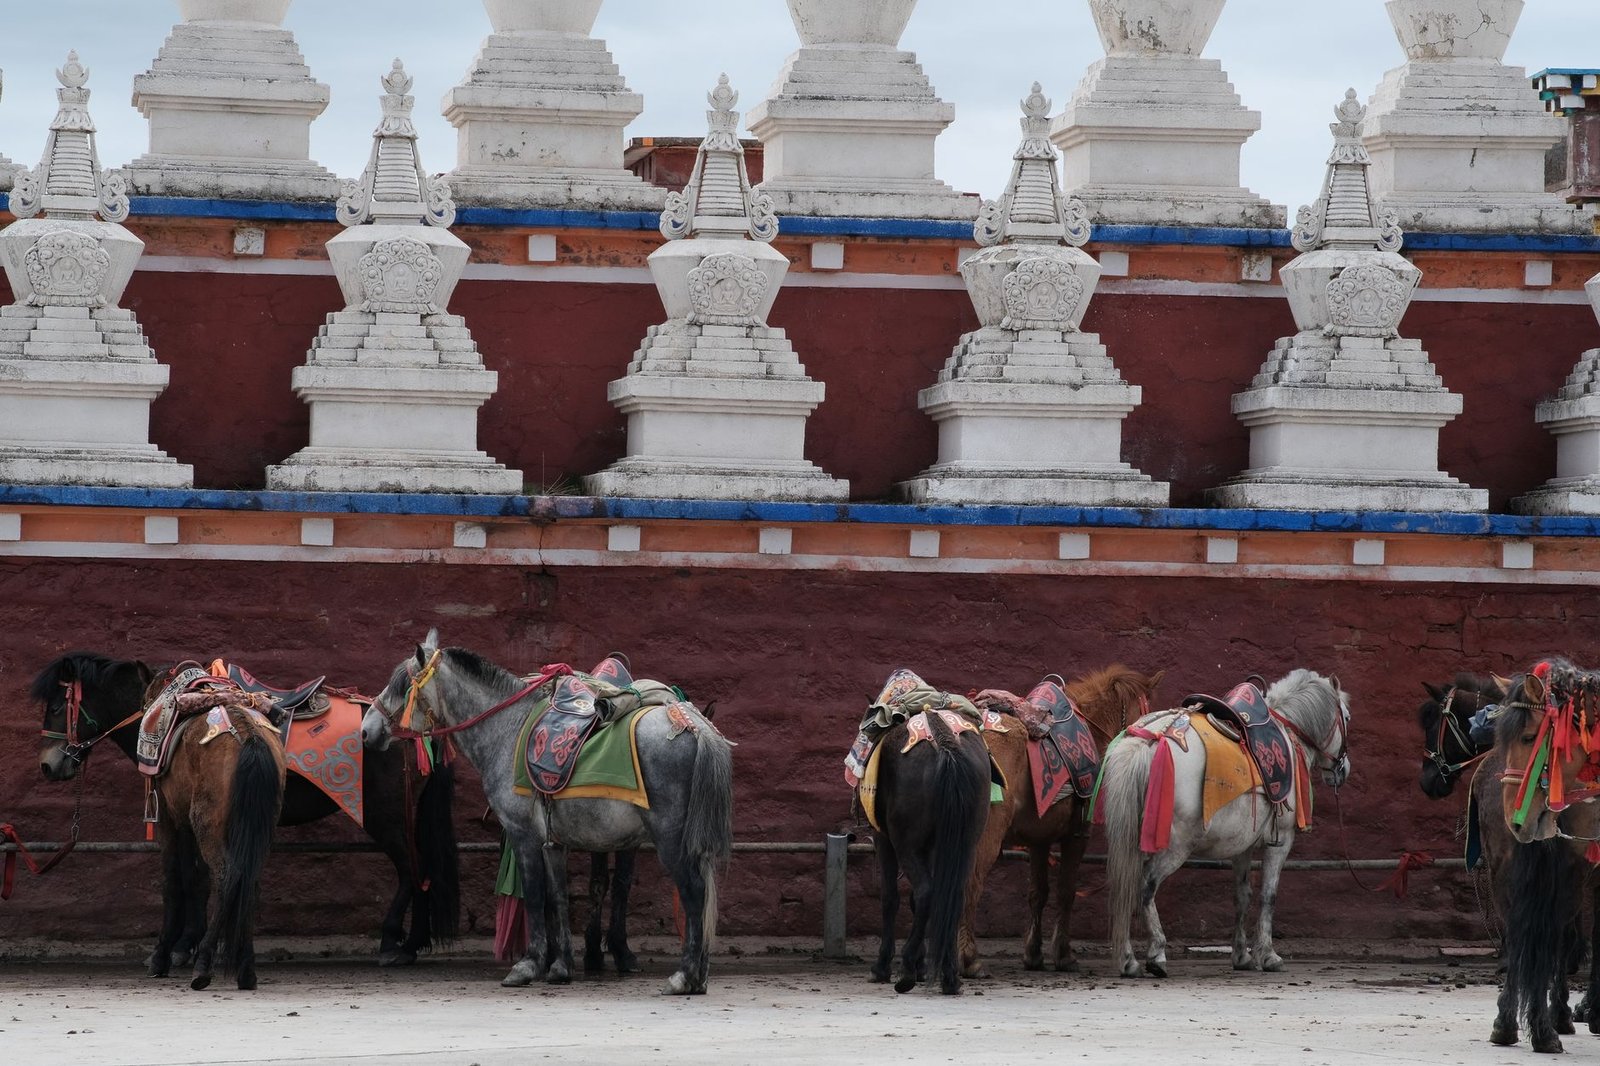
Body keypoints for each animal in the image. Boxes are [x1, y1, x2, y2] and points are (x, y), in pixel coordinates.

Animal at [32, 652, 459, 968]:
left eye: (55, 706)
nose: (49, 765)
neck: (160, 711)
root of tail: (414, 729)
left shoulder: (173, 817)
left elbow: (181, 879)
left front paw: (173, 949)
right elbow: (200, 878)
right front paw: (189, 944)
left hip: (385, 815)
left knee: (412, 870)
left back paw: (394, 942)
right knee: (421, 868)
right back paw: (411, 943)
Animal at [361, 633, 733, 995]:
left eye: (402, 684)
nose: (367, 729)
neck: (508, 729)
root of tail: (697, 728)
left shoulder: (523, 834)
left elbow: (535, 895)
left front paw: (528, 965)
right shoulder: (554, 841)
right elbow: (557, 898)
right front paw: (560, 966)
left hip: (671, 838)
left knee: (694, 893)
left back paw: (685, 976)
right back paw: (698, 974)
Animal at [867, 707, 990, 995]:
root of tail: (945, 745)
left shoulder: (883, 838)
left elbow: (891, 898)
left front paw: (883, 966)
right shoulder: (936, 846)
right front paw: (924, 966)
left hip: (906, 843)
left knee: (925, 892)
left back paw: (906, 971)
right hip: (965, 842)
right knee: (953, 894)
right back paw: (950, 975)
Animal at [959, 665, 1165, 978]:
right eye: (1146, 711)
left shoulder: (1039, 840)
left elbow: (1038, 893)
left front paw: (1033, 954)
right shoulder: (1076, 836)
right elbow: (1066, 892)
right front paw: (1064, 955)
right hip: (986, 837)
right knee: (969, 884)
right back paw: (969, 959)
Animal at [1100, 669, 1350, 979]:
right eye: (1347, 717)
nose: (1343, 769)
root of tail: (1150, 738)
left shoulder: (1242, 845)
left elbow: (1242, 896)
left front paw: (1241, 955)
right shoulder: (1281, 840)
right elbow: (1268, 896)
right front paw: (1268, 955)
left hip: (1131, 836)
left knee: (1125, 885)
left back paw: (1128, 959)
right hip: (1178, 844)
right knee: (1146, 884)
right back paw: (1156, 953)